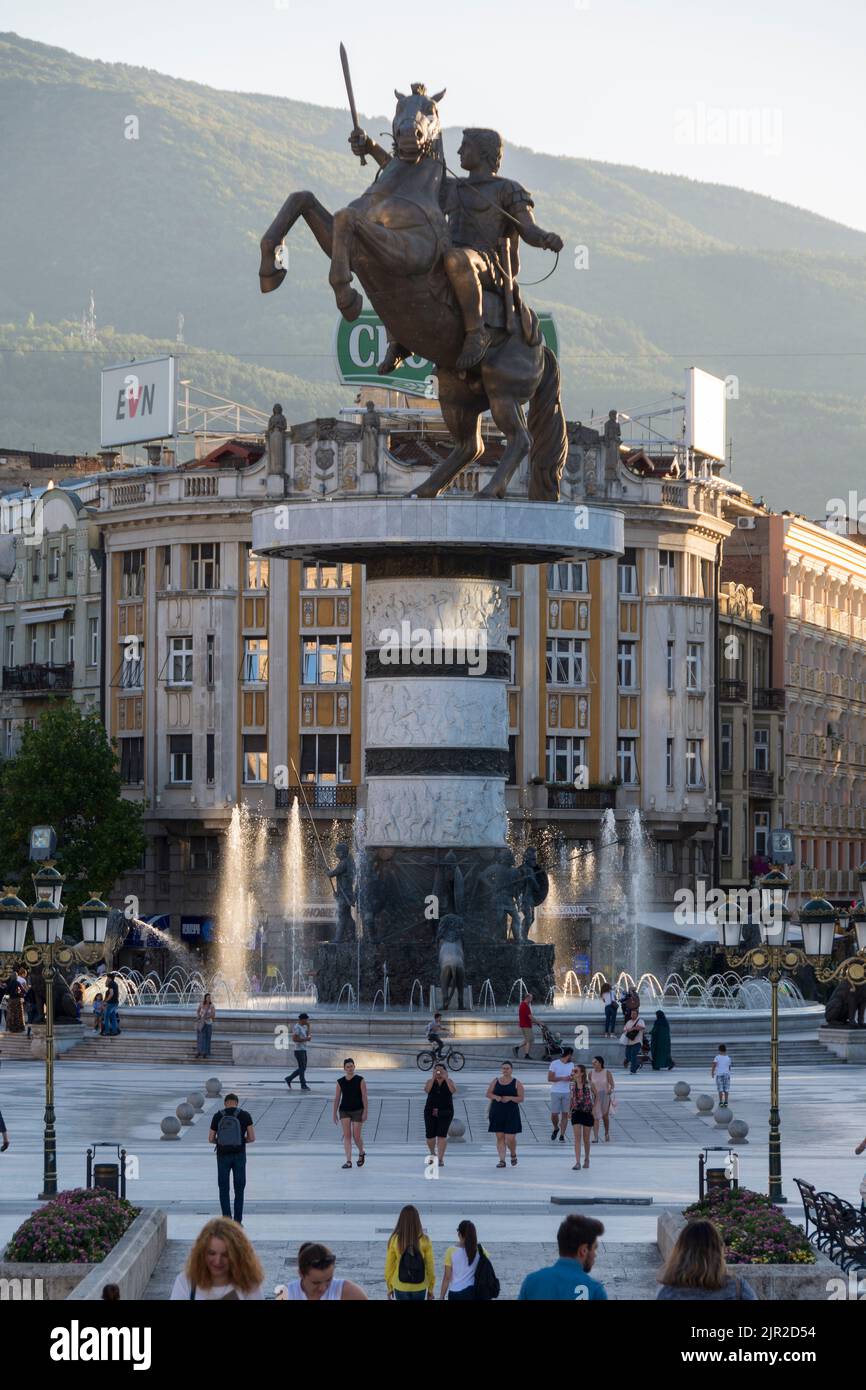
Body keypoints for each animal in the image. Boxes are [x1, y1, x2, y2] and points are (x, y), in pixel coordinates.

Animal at [257, 86, 569, 503]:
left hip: (502, 390)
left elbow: (346, 218)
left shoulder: (404, 255)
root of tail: (541, 349)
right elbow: (303, 199)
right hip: (457, 393)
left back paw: (489, 490)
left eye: (431, 110)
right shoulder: (350, 243)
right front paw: (270, 268)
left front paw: (347, 295)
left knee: (520, 439)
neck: (402, 192)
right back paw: (425, 488)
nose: (408, 136)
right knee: (472, 446)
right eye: (399, 105)